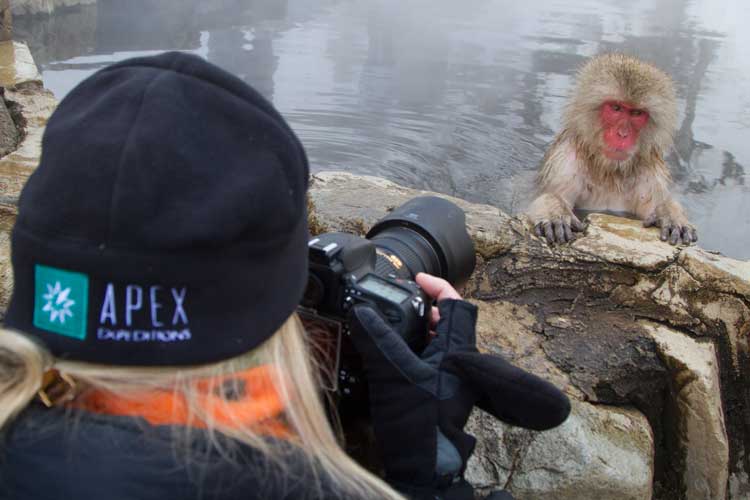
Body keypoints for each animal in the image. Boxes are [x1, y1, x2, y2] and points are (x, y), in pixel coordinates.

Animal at [526, 53, 697, 246]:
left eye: (637, 113)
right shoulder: (564, 164)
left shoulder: (652, 175)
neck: (610, 171)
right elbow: (544, 195)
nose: (622, 134)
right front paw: (555, 211)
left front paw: (669, 212)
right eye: (616, 108)